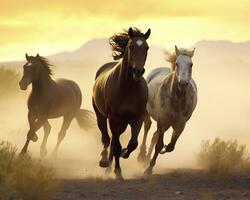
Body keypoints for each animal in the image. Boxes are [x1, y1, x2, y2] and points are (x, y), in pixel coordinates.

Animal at [92, 27, 150, 178]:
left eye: (147, 48)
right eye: (131, 46)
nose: (138, 71)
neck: (128, 88)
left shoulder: (137, 118)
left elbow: (132, 144)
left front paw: (125, 153)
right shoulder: (113, 119)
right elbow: (116, 146)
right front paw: (117, 171)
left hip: (122, 124)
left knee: (113, 140)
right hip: (101, 116)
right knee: (106, 139)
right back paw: (104, 161)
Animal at [137, 46, 197, 174]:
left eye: (191, 64)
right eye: (177, 63)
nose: (183, 83)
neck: (177, 99)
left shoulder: (180, 125)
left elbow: (170, 147)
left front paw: (162, 151)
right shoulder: (162, 120)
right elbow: (159, 145)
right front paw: (149, 169)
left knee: (155, 135)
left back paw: (146, 158)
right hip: (149, 114)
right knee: (147, 127)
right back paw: (142, 156)